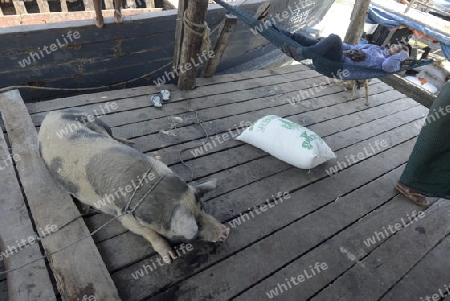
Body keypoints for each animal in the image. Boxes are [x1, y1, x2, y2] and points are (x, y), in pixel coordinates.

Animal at [37, 109, 230, 260]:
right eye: (196, 228)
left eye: (203, 208)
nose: (225, 232)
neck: (150, 187)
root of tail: (50, 113)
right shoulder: (124, 216)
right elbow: (147, 232)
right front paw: (169, 257)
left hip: (93, 118)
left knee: (111, 133)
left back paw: (130, 142)